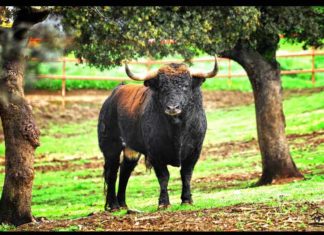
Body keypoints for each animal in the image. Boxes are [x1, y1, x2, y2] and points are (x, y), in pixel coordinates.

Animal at [97, 58, 218, 211]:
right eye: (162, 86)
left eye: (185, 85)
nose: (172, 107)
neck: (177, 129)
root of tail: (113, 95)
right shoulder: (155, 153)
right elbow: (164, 176)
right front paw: (163, 203)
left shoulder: (194, 150)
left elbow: (186, 174)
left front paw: (187, 200)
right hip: (111, 147)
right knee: (112, 173)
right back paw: (113, 206)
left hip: (131, 150)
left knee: (125, 171)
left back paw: (123, 204)